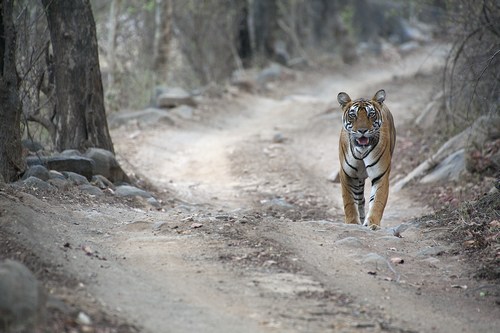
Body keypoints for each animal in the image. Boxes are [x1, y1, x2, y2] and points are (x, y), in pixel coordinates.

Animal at [338, 89, 396, 228]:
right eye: (353, 115)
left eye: (371, 114)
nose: (362, 130)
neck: (361, 151)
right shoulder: (347, 174)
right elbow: (349, 201)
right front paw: (352, 222)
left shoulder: (381, 175)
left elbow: (377, 201)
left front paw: (372, 223)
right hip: (357, 178)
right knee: (360, 199)